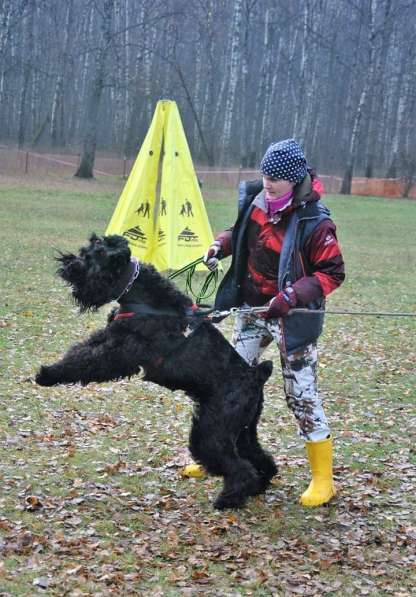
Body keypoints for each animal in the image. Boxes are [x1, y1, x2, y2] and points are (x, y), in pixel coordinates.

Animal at [35, 233, 276, 508]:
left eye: (90, 258)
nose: (67, 265)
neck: (143, 297)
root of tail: (256, 376)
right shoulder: (109, 337)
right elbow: (80, 352)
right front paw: (50, 370)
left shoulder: (120, 353)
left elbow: (86, 361)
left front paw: (48, 375)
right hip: (243, 430)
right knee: (258, 457)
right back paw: (260, 484)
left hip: (212, 431)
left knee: (237, 465)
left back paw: (229, 498)